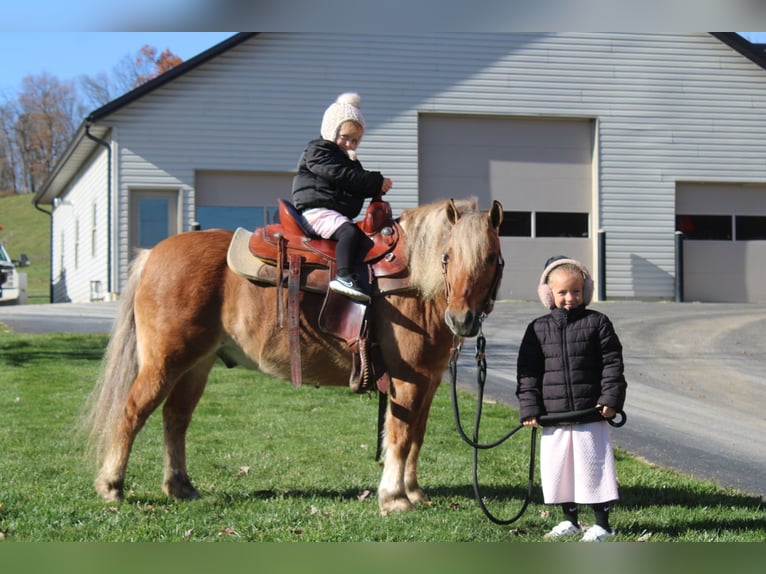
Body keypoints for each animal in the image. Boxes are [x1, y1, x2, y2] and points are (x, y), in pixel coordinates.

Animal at [83, 196, 504, 515]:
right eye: (447, 256)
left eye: (492, 258)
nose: (462, 319)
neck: (415, 281)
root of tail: (153, 255)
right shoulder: (408, 377)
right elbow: (400, 437)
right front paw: (394, 498)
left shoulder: (428, 381)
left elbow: (416, 435)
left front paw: (413, 491)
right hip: (165, 362)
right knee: (133, 411)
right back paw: (112, 485)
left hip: (197, 365)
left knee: (175, 418)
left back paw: (180, 486)